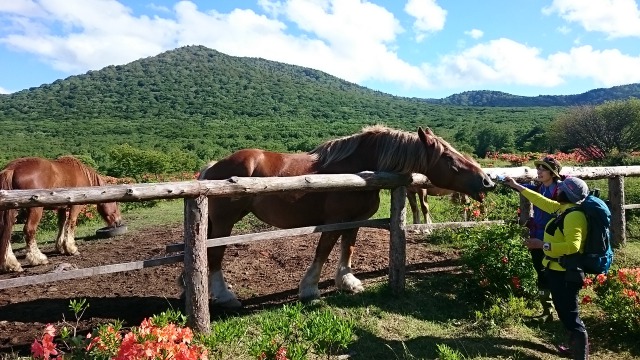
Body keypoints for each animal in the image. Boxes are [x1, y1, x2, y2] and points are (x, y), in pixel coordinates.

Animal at [200, 126, 496, 306]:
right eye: (449, 158)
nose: (487, 181)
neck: (358, 170)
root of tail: (213, 166)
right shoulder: (335, 221)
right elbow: (323, 251)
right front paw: (310, 289)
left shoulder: (355, 220)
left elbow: (348, 248)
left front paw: (347, 282)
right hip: (225, 223)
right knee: (215, 256)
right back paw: (225, 296)